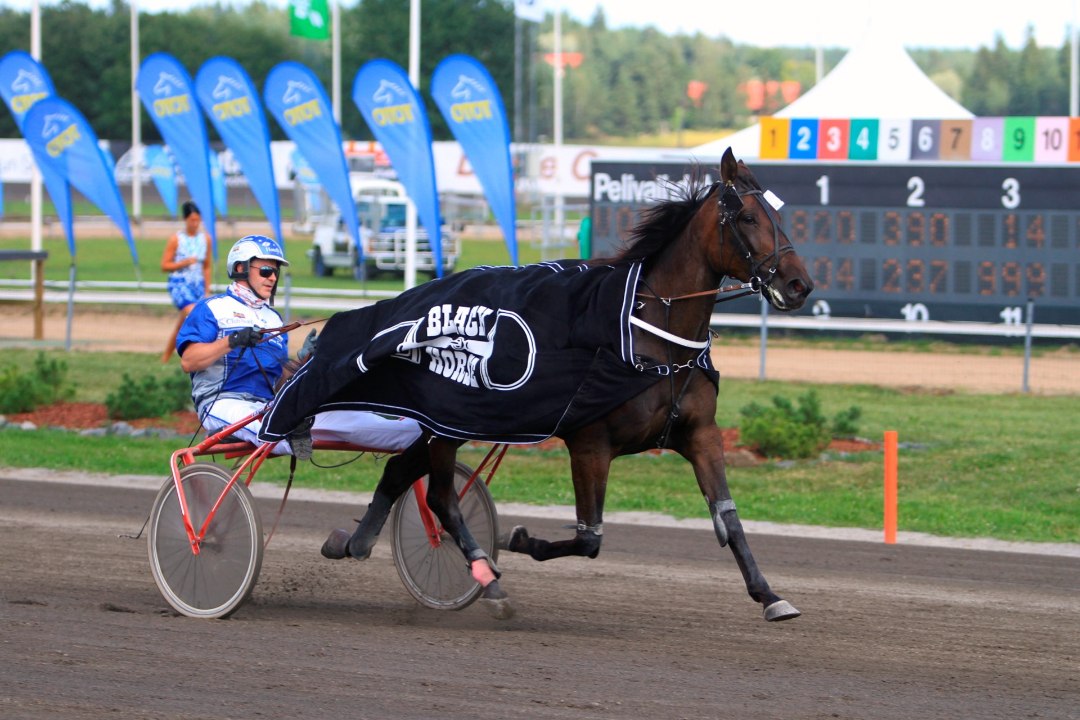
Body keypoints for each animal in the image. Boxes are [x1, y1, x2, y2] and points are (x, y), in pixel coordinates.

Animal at [311, 146, 812, 621]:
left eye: (778, 217)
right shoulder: (591, 443)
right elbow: (590, 538)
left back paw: (354, 542)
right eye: (748, 218)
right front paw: (517, 539)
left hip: (450, 423)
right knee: (441, 497)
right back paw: (487, 578)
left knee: (402, 472)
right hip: (450, 421)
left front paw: (769, 595)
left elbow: (728, 519)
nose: (799, 284)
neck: (651, 339)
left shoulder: (701, 434)